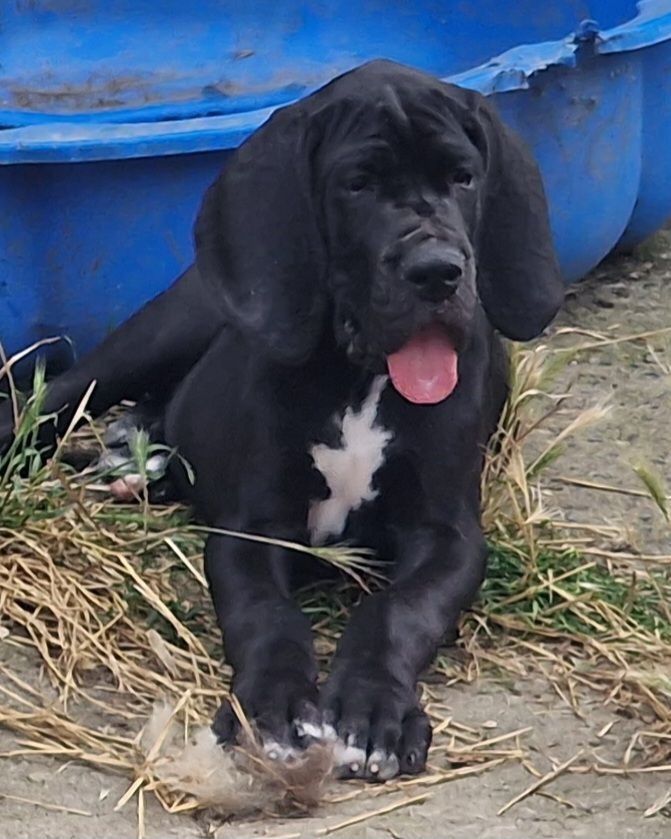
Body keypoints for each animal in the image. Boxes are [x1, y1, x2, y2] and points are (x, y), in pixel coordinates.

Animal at [0, 60, 564, 780]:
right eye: (357, 184)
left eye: (462, 177)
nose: (437, 271)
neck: (362, 379)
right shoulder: (252, 528)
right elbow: (266, 616)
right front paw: (272, 709)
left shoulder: (449, 535)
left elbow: (397, 610)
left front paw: (372, 711)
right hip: (158, 333)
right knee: (47, 402)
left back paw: (141, 457)